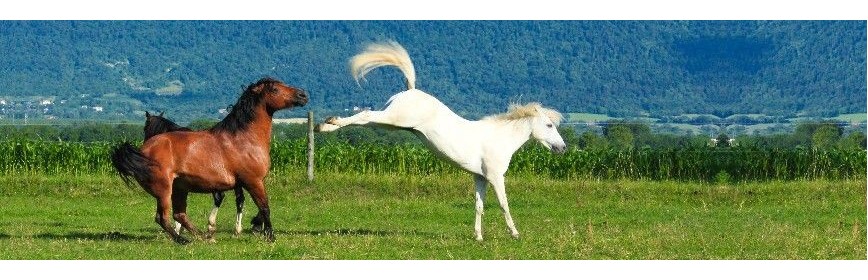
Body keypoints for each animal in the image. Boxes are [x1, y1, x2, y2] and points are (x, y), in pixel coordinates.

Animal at [112, 77, 308, 244]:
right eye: (275, 89)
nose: (303, 95)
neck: (243, 139)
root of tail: (142, 151)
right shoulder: (253, 181)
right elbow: (265, 207)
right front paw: (270, 236)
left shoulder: (248, 183)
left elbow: (256, 206)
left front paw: (255, 226)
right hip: (164, 190)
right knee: (163, 218)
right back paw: (184, 240)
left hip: (179, 189)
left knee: (179, 215)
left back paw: (203, 237)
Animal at [316, 41, 568, 241]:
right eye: (549, 125)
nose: (562, 148)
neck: (499, 138)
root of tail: (411, 90)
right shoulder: (496, 177)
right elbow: (503, 204)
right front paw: (515, 234)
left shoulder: (480, 177)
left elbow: (479, 206)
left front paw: (478, 236)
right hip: (394, 119)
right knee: (364, 114)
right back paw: (327, 124)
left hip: (391, 123)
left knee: (364, 119)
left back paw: (326, 125)